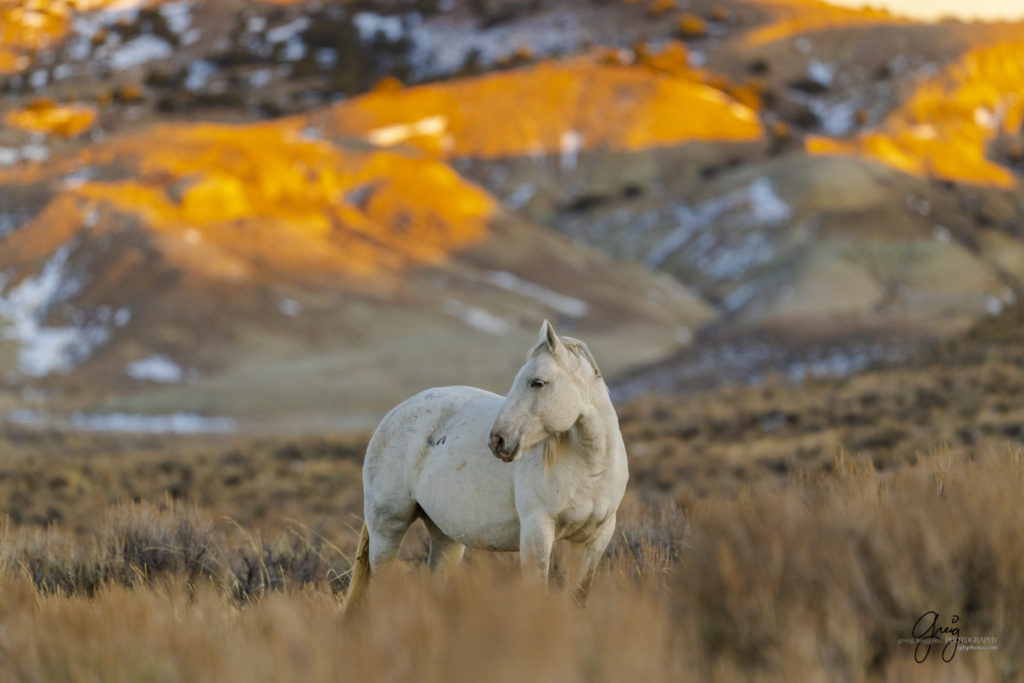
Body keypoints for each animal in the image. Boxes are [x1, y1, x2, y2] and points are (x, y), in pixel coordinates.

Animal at [344, 321, 626, 610]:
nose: (497, 440)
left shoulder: (595, 539)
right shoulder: (537, 532)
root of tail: (391, 415)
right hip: (388, 528)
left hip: (445, 536)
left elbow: (579, 595)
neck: (591, 470)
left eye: (537, 382)